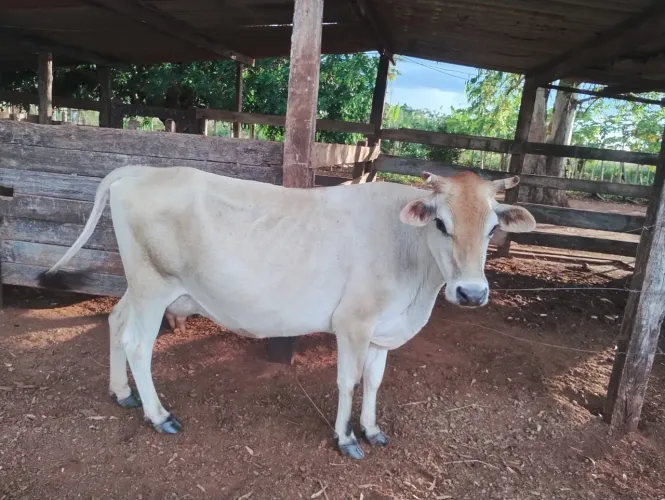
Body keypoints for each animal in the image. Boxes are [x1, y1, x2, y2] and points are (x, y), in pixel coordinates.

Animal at [41, 166, 536, 460]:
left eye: (492, 227)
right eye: (440, 222)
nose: (471, 292)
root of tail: (141, 170)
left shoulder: (383, 328)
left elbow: (375, 381)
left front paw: (371, 429)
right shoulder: (353, 323)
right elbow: (348, 381)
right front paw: (346, 438)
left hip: (140, 288)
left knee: (115, 321)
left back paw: (121, 392)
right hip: (153, 286)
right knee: (137, 343)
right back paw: (158, 414)